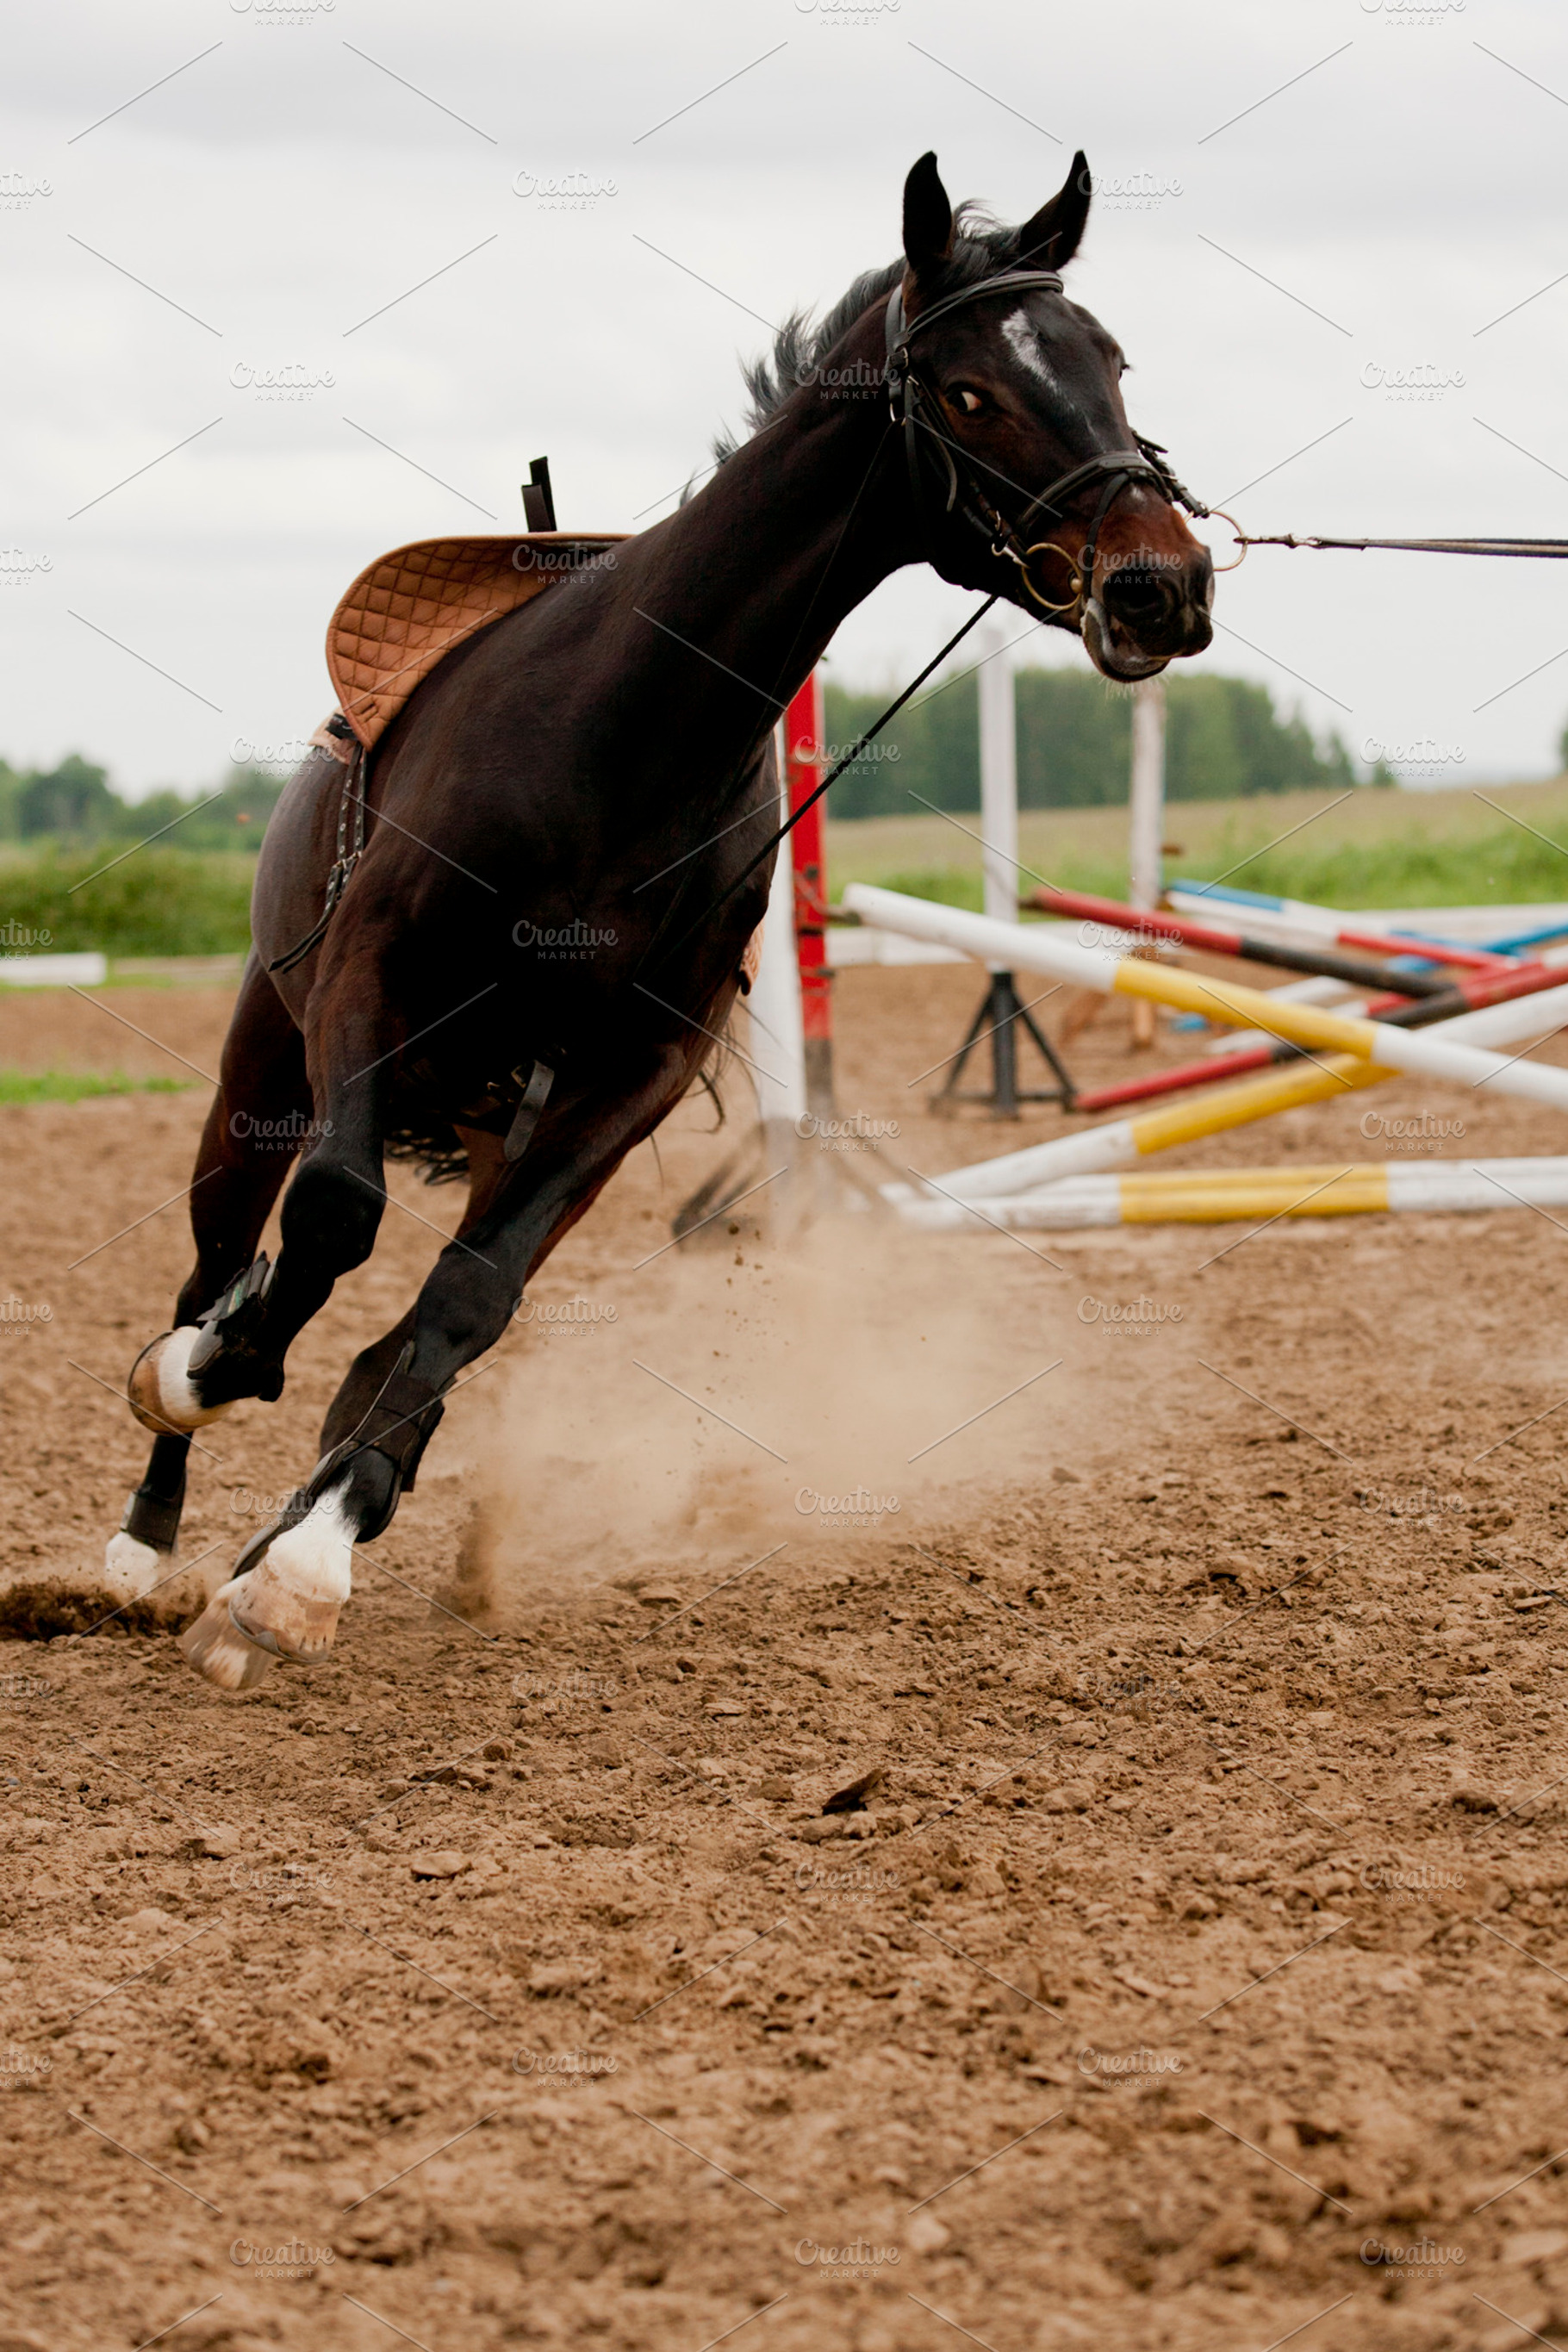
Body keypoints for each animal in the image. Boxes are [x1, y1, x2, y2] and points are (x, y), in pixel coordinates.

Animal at [91, 150, 1215, 1691]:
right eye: (972, 390)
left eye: (1109, 361)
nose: (1162, 582)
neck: (619, 734)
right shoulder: (370, 989)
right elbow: (325, 1219)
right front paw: (214, 1380)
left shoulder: (634, 1076)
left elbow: (467, 1301)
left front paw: (305, 1560)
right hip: (265, 1059)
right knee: (221, 1245)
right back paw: (150, 1528)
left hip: (507, 1118)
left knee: (425, 1311)